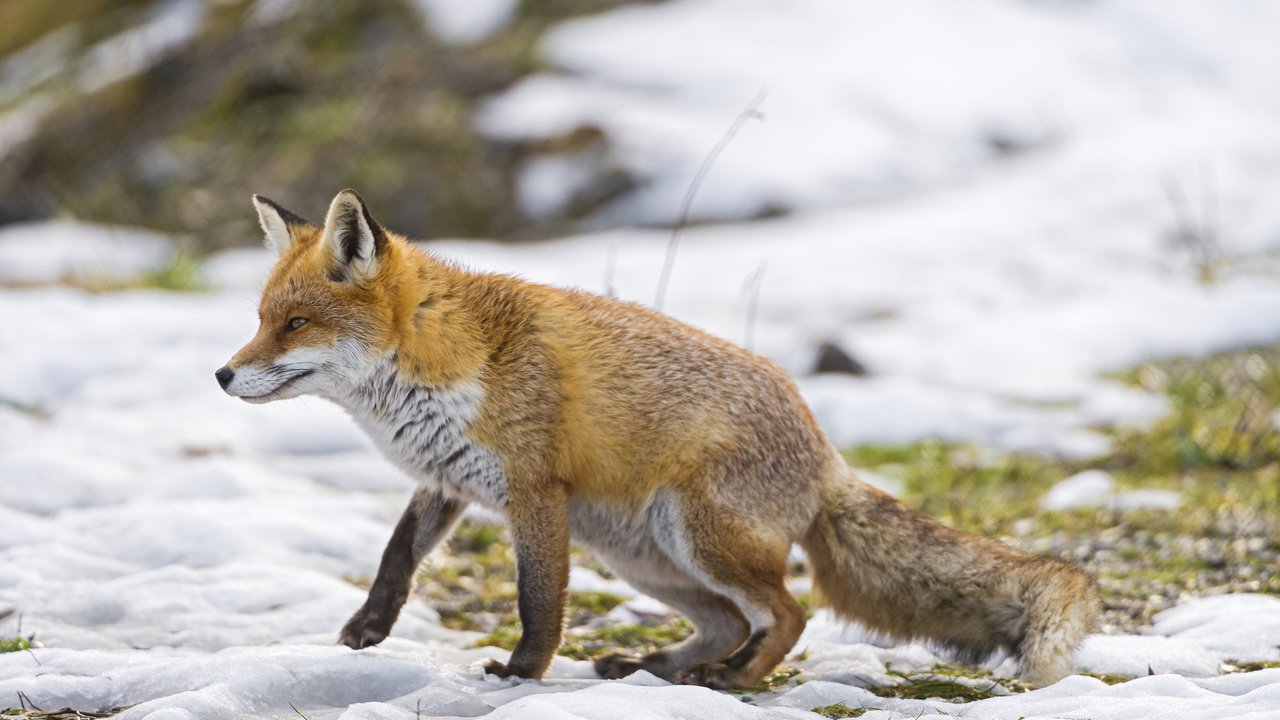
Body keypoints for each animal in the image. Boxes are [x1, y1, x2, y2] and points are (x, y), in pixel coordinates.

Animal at [215, 189, 1095, 681]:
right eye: (259, 319)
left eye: (295, 325)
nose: (222, 376)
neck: (444, 357)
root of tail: (823, 452)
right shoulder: (448, 479)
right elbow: (396, 559)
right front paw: (364, 633)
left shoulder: (534, 492)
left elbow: (540, 601)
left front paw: (521, 674)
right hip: (641, 556)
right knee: (732, 622)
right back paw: (653, 668)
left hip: (695, 535)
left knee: (788, 615)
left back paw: (733, 682)